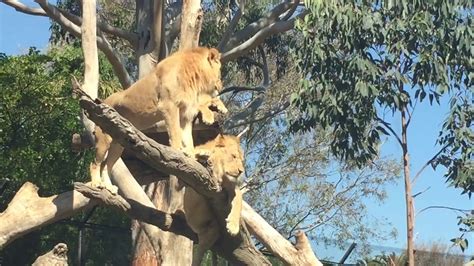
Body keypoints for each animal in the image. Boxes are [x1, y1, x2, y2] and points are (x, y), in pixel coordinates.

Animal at [91, 47, 224, 193]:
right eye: (220, 73)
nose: (221, 87)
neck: (193, 75)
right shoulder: (169, 105)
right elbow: (175, 132)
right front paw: (178, 151)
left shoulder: (185, 114)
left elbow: (188, 137)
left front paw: (190, 154)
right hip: (104, 140)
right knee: (95, 163)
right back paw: (96, 184)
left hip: (118, 145)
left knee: (106, 165)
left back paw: (109, 187)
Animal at [184, 134, 246, 264]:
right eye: (234, 156)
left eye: (242, 161)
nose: (241, 171)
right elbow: (193, 152)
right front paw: (201, 153)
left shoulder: (232, 187)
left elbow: (239, 200)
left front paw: (233, 226)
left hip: (212, 230)